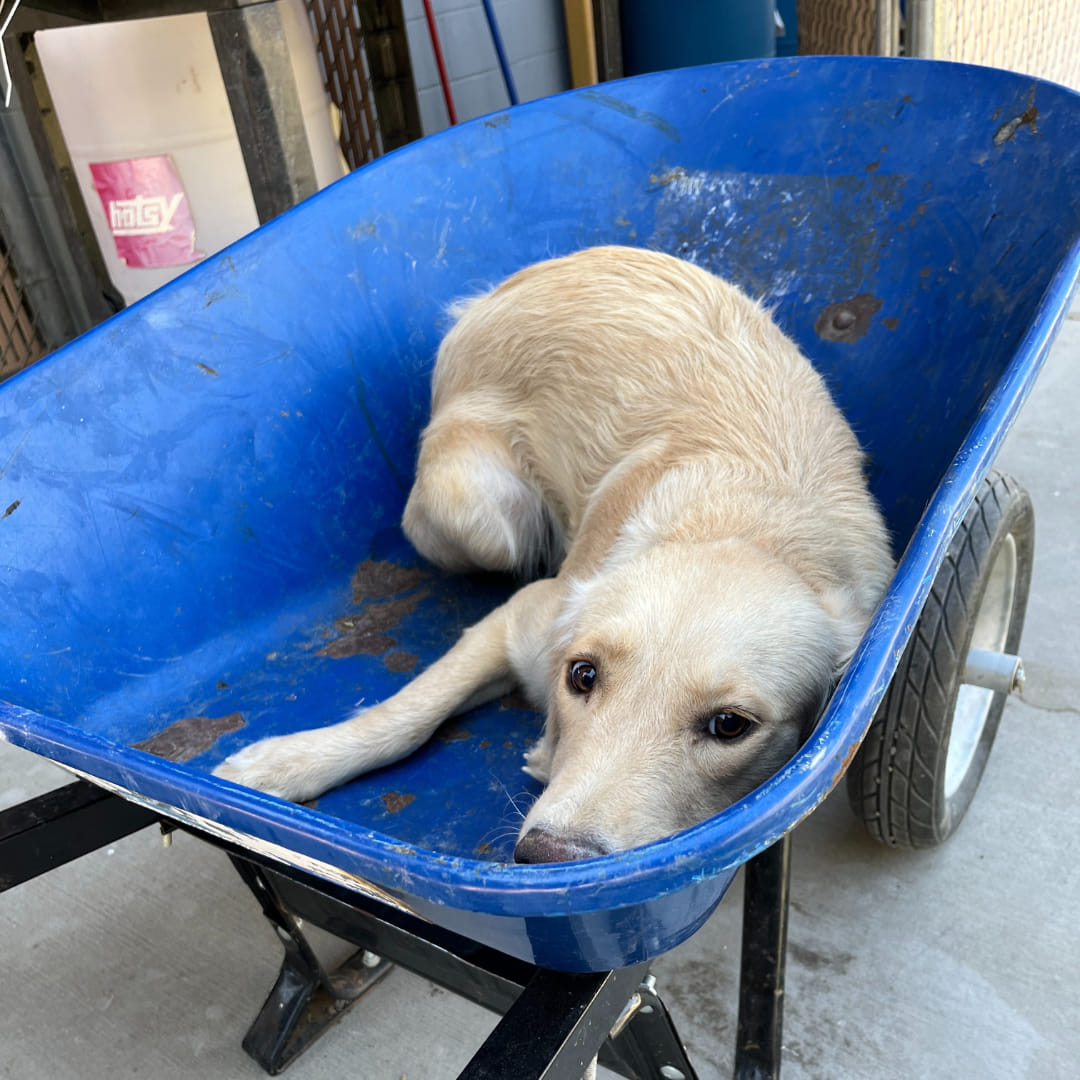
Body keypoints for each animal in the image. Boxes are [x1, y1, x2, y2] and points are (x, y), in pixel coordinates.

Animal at [212, 243, 894, 859]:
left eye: (730, 725)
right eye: (582, 675)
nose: (546, 858)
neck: (748, 528)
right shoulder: (525, 617)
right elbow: (405, 715)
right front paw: (286, 763)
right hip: (477, 516)